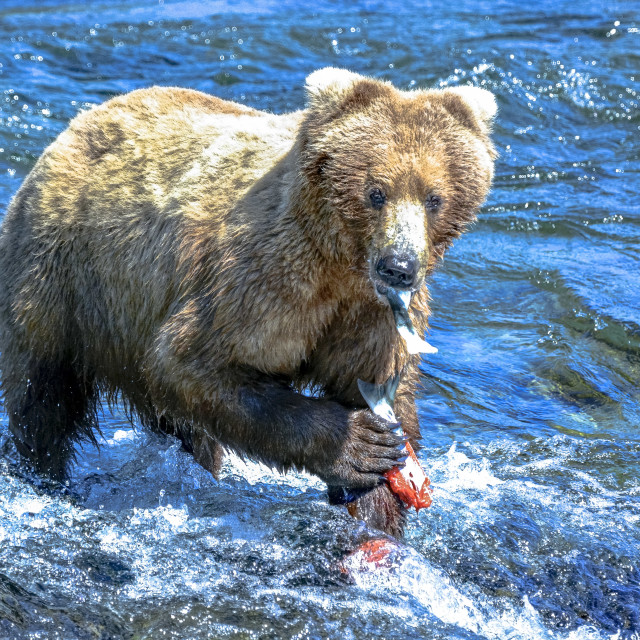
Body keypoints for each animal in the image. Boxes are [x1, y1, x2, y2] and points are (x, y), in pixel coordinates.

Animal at [0, 69, 496, 536]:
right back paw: (45, 474)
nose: (399, 266)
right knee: (42, 395)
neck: (340, 266)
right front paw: (356, 446)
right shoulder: (263, 282)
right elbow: (189, 362)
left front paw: (377, 506)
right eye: (376, 192)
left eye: (434, 197)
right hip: (66, 275)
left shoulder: (372, 317)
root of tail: (79, 123)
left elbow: (379, 391)